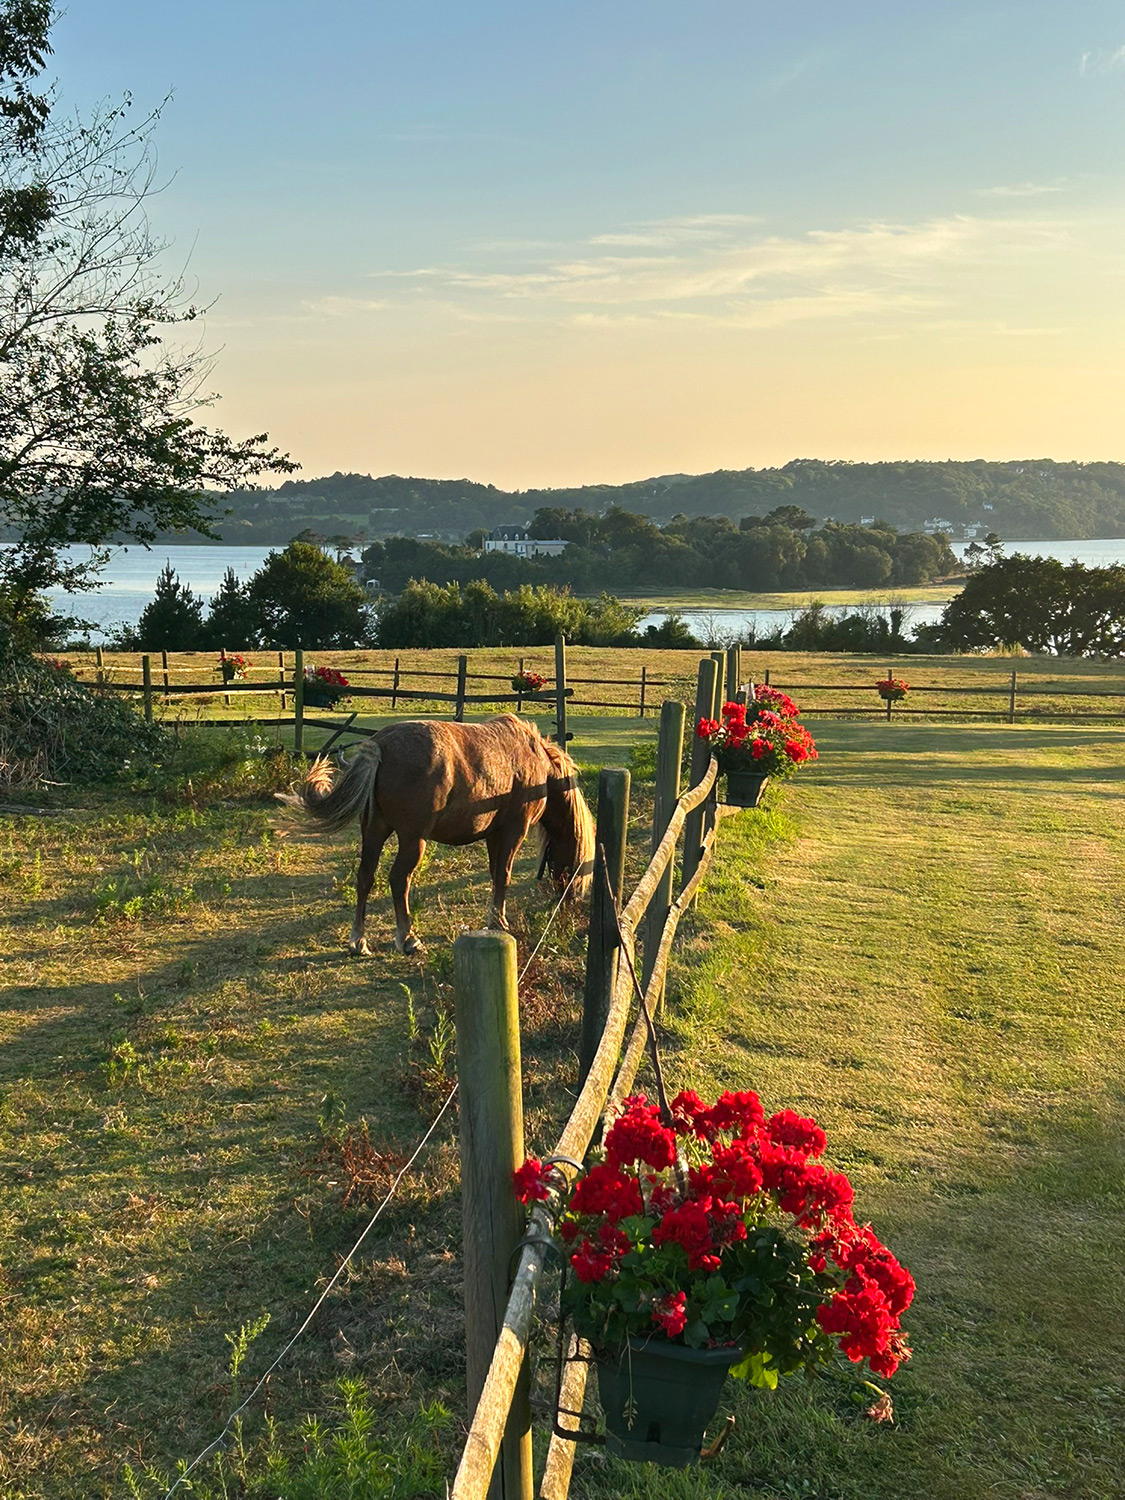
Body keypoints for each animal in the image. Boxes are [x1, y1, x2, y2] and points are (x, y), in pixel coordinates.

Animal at [277, 714, 594, 956]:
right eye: (576, 863)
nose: (569, 900)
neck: (536, 761)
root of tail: (380, 747)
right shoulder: (513, 830)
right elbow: (504, 875)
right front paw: (500, 923)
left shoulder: (493, 833)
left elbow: (495, 874)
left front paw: (494, 918)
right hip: (413, 840)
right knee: (398, 880)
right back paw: (408, 939)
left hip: (374, 831)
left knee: (365, 876)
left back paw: (359, 941)